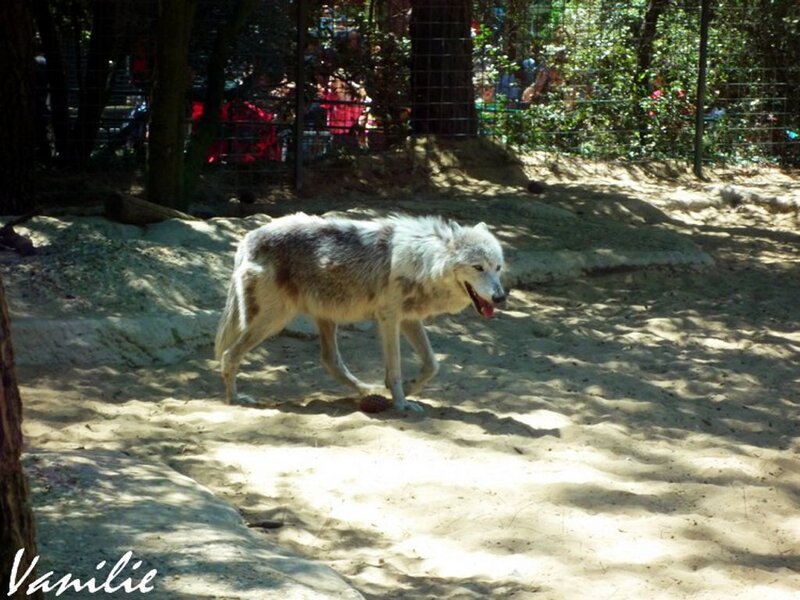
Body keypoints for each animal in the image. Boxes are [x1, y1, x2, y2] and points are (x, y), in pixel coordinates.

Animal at [214, 212, 507, 412]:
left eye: (498, 267)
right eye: (478, 267)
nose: (501, 297)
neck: (423, 260)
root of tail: (248, 238)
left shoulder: (409, 320)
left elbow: (432, 365)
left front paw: (409, 388)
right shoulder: (389, 319)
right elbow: (396, 368)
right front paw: (401, 403)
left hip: (325, 316)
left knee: (331, 361)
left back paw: (367, 391)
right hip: (272, 321)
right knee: (229, 355)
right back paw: (234, 399)